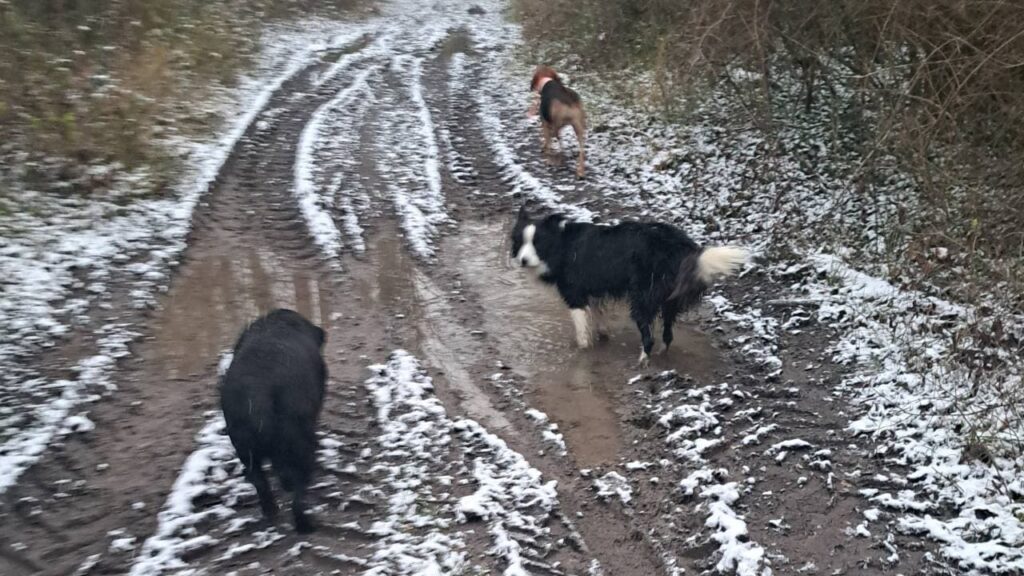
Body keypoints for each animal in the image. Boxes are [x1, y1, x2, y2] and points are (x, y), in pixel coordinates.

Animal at [219, 307, 323, 532]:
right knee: (297, 492)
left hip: (244, 447)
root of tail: (258, 393)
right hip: (300, 443)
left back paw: (271, 511)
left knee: (260, 481)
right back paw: (305, 525)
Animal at [509, 207, 745, 362]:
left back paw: (642, 361)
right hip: (668, 297)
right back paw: (662, 353)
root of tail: (683, 247)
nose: (523, 260)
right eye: (520, 242)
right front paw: (603, 336)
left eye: (538, 243)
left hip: (642, 298)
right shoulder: (595, 291)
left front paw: (583, 350)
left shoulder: (574, 294)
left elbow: (581, 328)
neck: (562, 244)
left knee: (648, 336)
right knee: (668, 332)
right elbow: (598, 316)